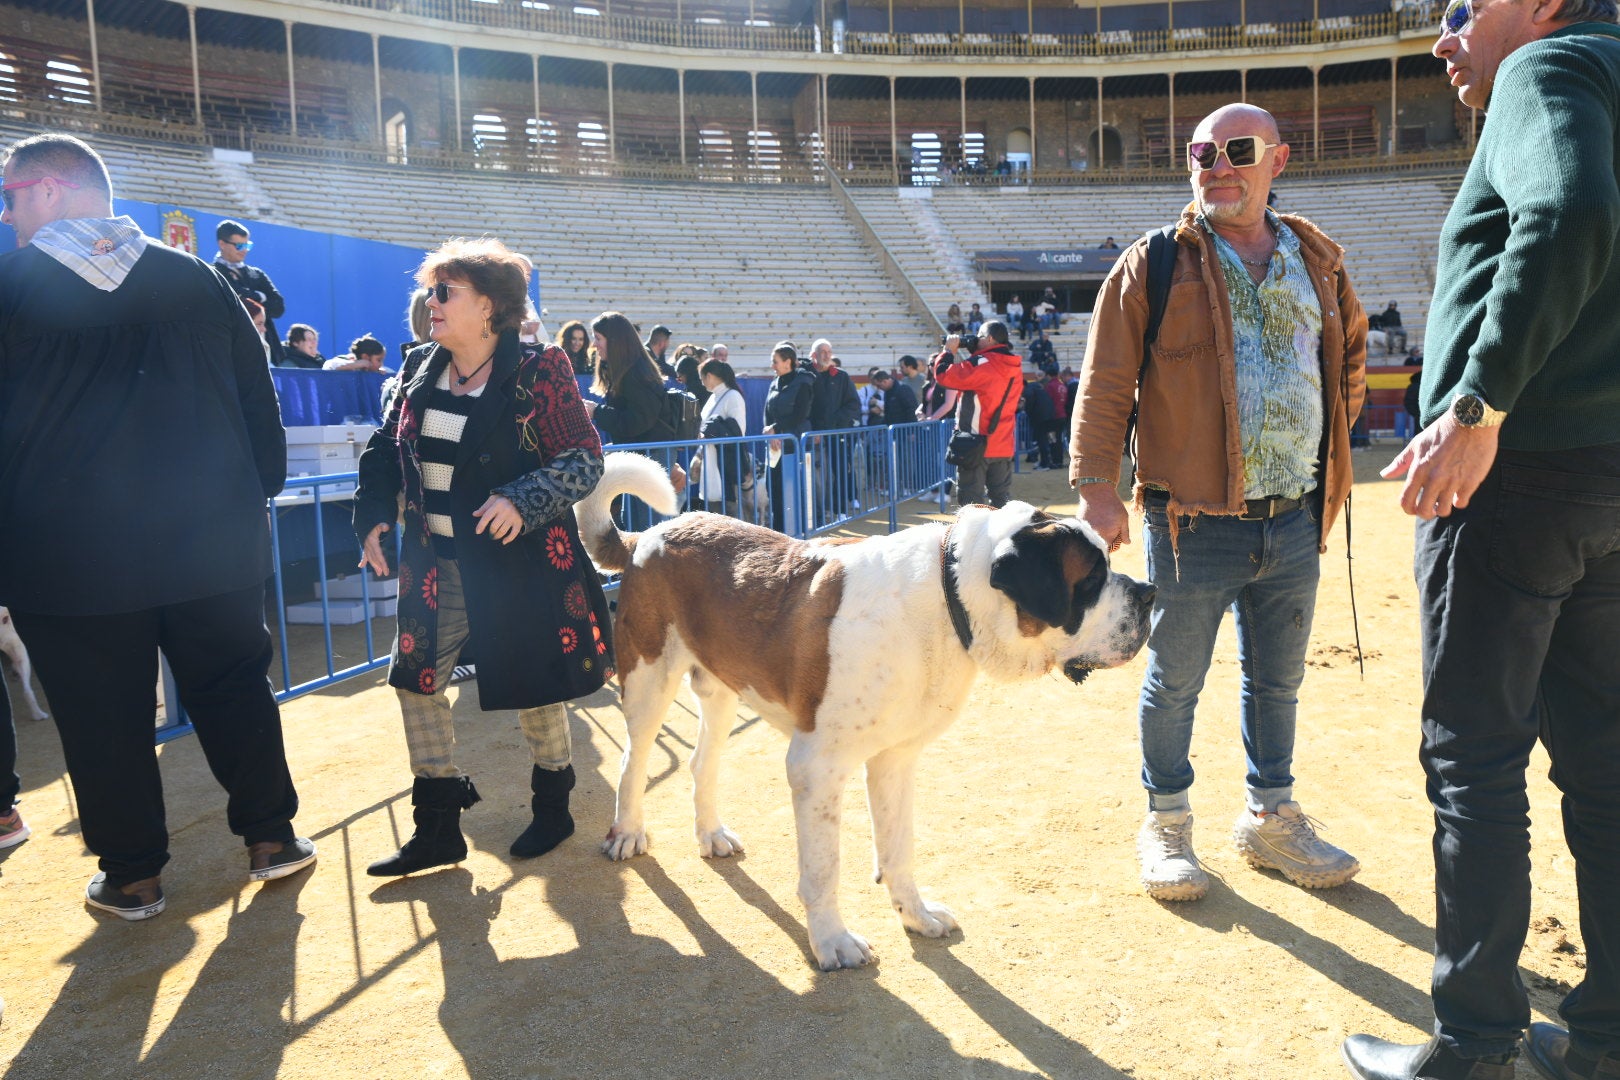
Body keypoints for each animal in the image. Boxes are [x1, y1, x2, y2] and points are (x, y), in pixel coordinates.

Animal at [570, 453, 1153, 977]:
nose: (1149, 592)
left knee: (701, 762)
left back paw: (710, 834)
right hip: (649, 680)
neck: (949, 598)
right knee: (633, 760)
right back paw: (626, 833)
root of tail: (651, 534)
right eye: (1091, 580)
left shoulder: (895, 759)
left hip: (720, 689)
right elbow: (824, 866)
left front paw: (915, 915)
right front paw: (832, 942)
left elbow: (898, 847)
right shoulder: (816, 767)